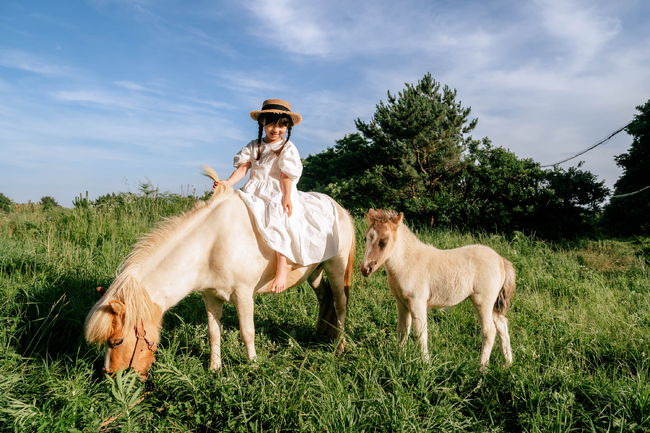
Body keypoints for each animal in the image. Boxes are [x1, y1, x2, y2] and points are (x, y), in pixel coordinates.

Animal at [85, 169, 354, 374]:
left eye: (117, 341)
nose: (109, 376)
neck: (212, 242)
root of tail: (340, 209)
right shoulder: (211, 296)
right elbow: (213, 332)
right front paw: (215, 369)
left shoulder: (244, 295)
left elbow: (247, 332)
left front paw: (253, 366)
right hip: (314, 273)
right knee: (324, 298)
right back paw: (321, 333)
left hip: (336, 268)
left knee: (340, 303)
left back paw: (340, 346)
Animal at [356, 209, 512, 372]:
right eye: (366, 238)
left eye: (383, 241)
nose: (365, 269)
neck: (407, 262)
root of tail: (501, 260)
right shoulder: (401, 302)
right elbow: (403, 330)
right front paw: (398, 358)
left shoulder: (417, 302)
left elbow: (420, 333)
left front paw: (425, 364)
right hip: (493, 304)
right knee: (502, 324)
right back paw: (507, 363)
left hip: (483, 301)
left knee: (489, 330)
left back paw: (482, 368)